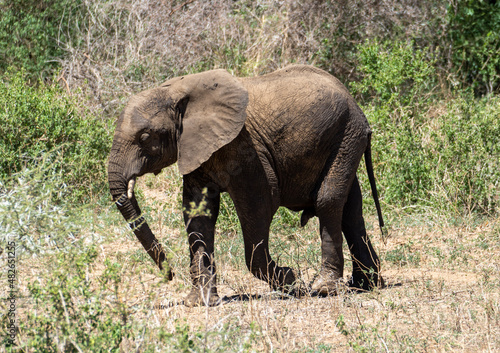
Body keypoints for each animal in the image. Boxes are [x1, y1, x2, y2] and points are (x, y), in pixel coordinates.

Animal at [107, 65, 384, 306]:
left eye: (144, 137)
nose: (170, 274)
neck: (176, 90)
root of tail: (355, 103)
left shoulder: (245, 148)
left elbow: (259, 204)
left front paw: (291, 281)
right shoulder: (196, 147)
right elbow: (198, 214)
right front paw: (199, 303)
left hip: (347, 135)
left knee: (328, 202)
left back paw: (324, 288)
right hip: (344, 140)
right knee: (351, 209)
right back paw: (366, 284)